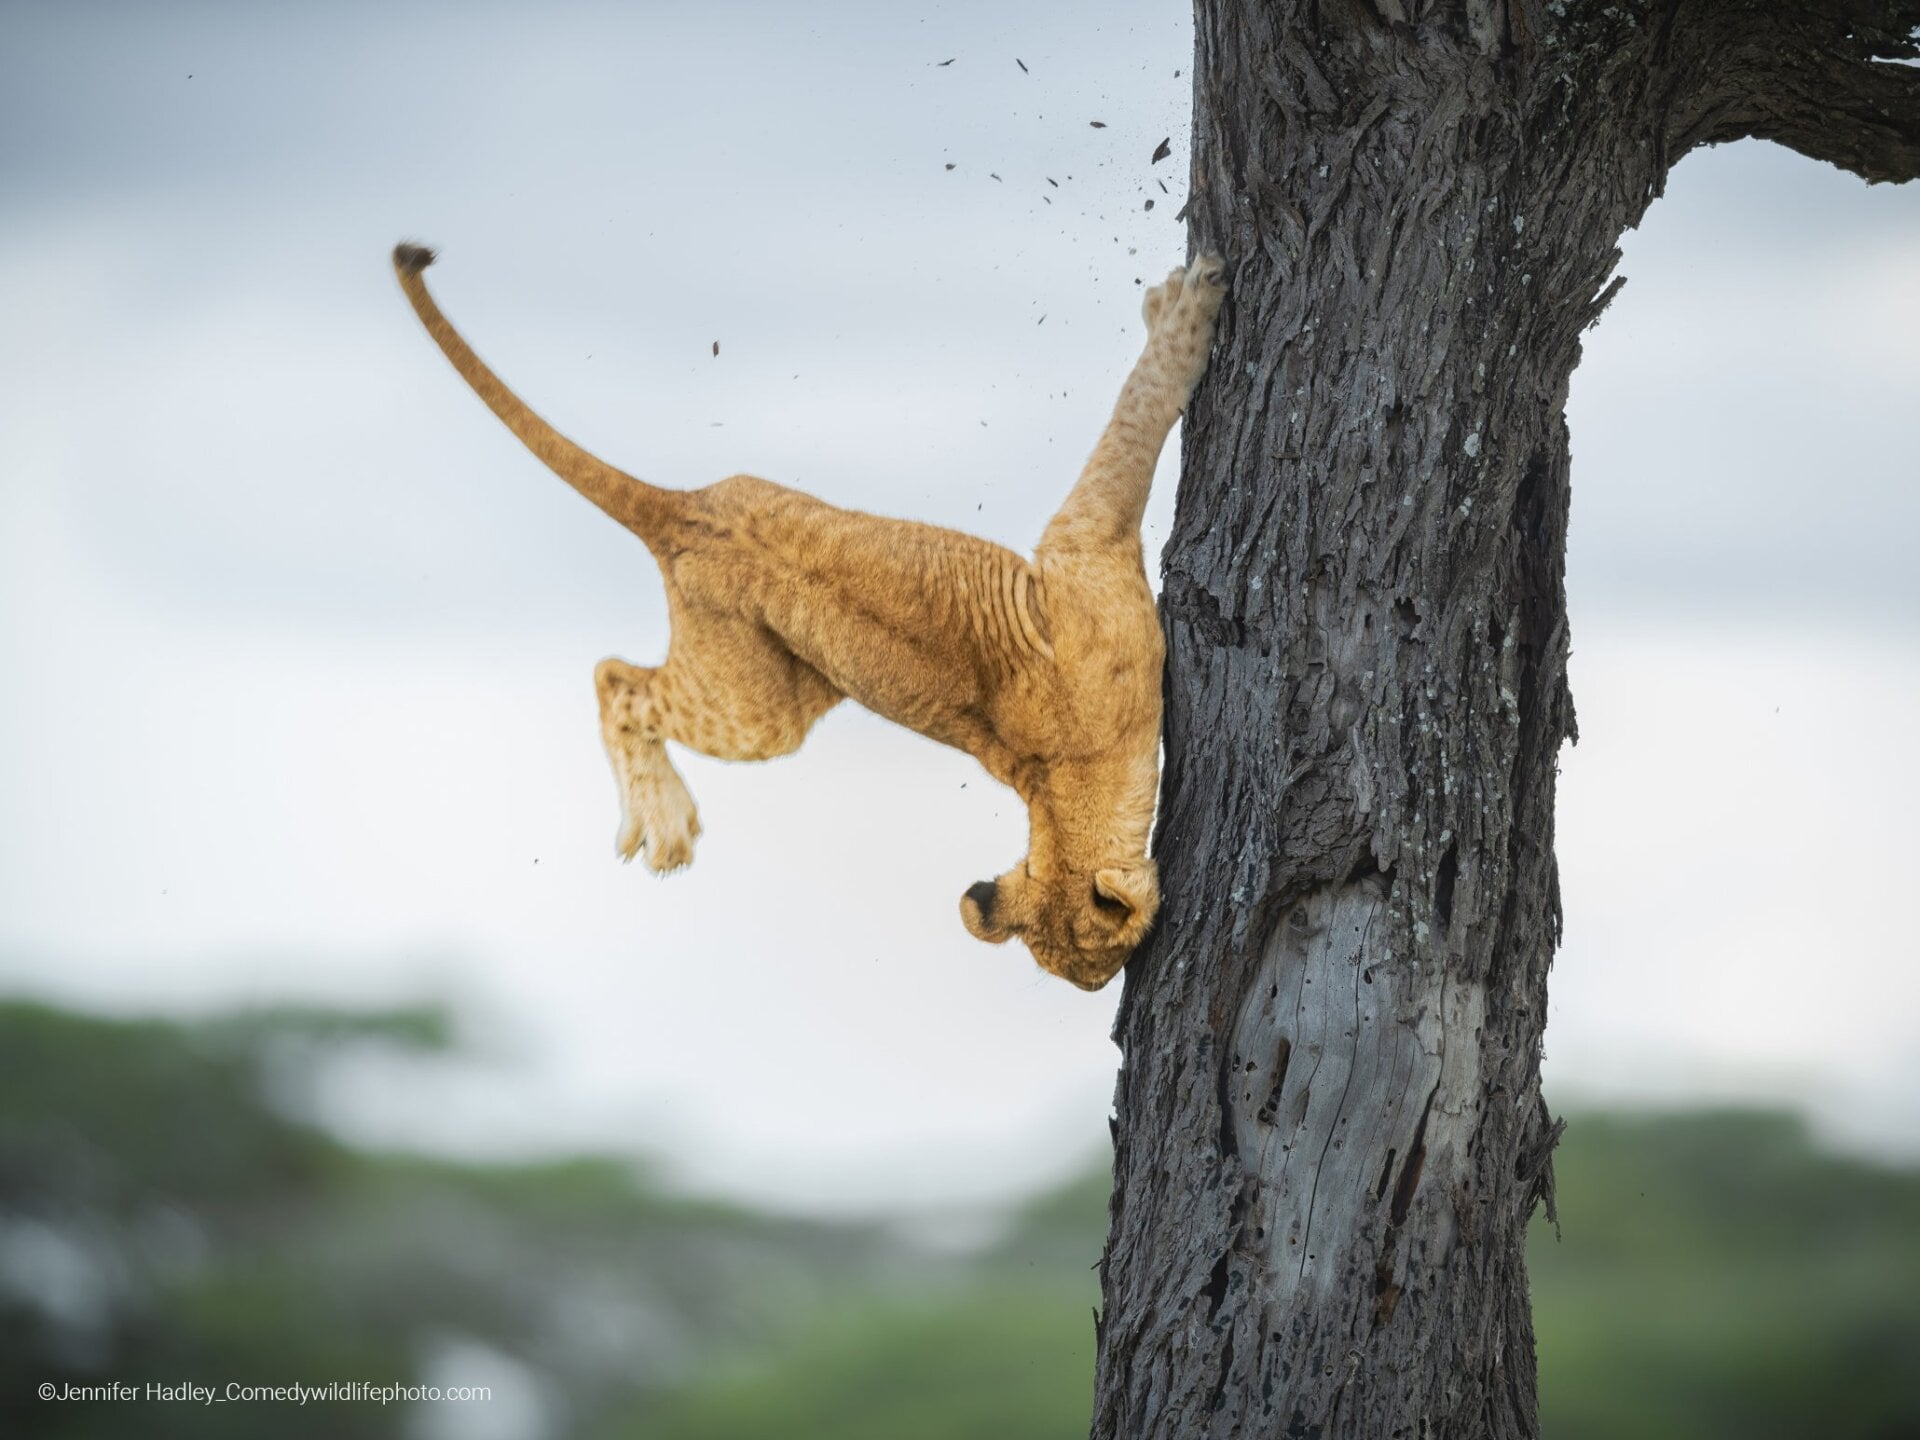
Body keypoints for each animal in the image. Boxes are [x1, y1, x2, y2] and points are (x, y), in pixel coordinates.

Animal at [393, 242, 1226, 990]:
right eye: (1100, 971)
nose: (1099, 998)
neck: (1056, 793)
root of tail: (676, 512)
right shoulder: (1083, 547)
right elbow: (1132, 425)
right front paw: (1184, 311)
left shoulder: (1079, 560)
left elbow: (1130, 423)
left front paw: (1174, 305)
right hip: (758, 713)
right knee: (614, 679)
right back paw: (662, 825)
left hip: (802, 665)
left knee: (622, 670)